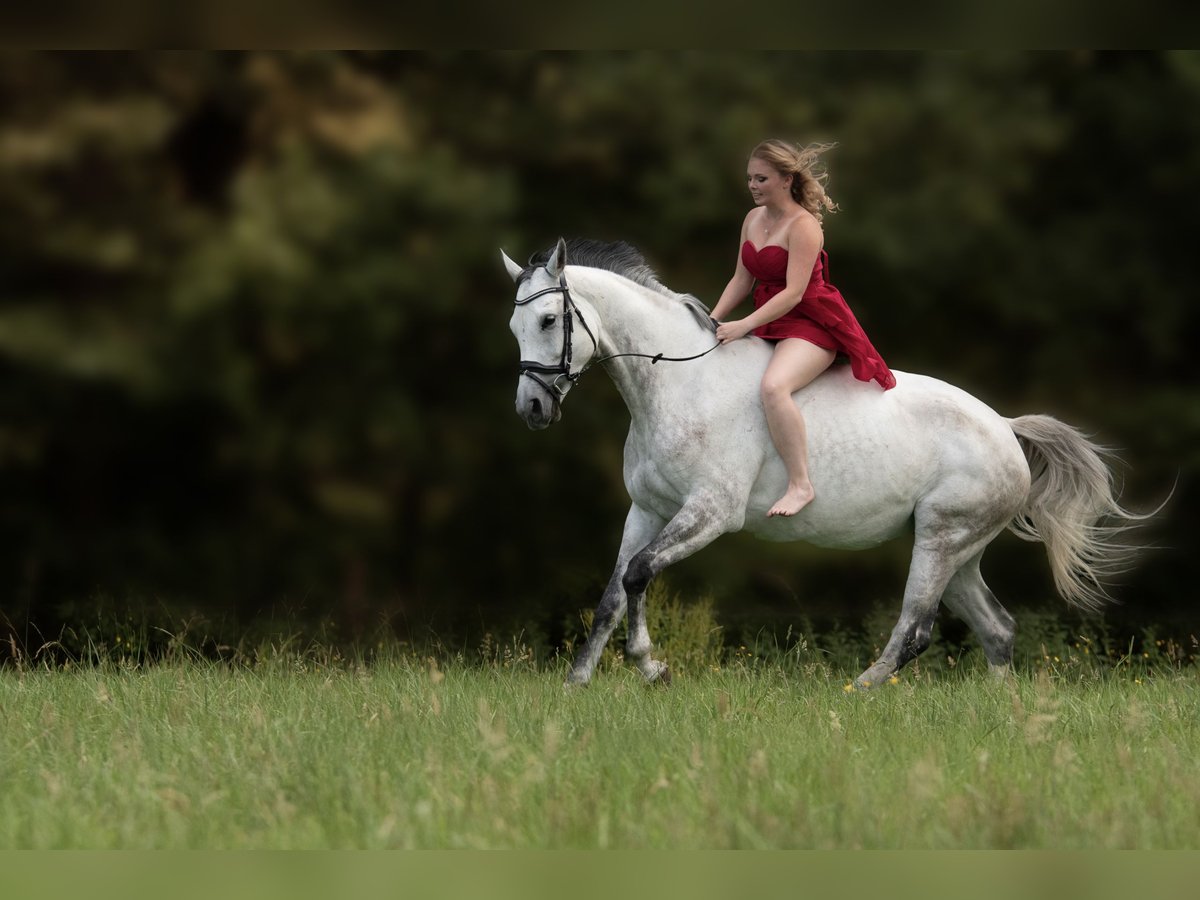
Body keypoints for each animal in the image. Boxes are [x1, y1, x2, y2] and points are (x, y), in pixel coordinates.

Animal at [501, 236, 1137, 686]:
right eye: (515, 325)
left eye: (550, 321)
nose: (531, 408)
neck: (678, 382)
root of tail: (1005, 428)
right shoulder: (648, 511)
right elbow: (613, 595)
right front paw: (577, 683)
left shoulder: (710, 512)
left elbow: (638, 575)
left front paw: (652, 668)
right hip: (961, 552)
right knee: (997, 629)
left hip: (941, 538)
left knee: (916, 629)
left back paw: (857, 692)